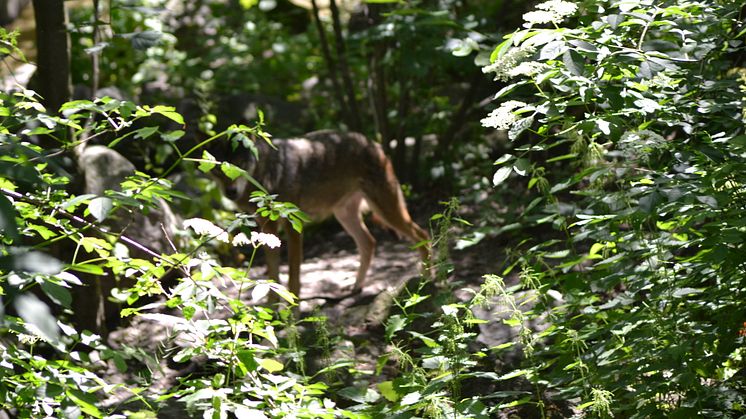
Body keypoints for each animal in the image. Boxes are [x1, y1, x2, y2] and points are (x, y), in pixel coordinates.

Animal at [218, 130, 428, 298]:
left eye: (241, 164)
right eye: (219, 168)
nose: (230, 192)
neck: (269, 171)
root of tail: (373, 143)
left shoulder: (293, 228)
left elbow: (293, 277)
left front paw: (292, 315)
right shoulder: (268, 230)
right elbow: (273, 277)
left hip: (386, 211)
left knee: (421, 234)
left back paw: (428, 278)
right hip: (345, 215)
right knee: (369, 242)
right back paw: (357, 287)